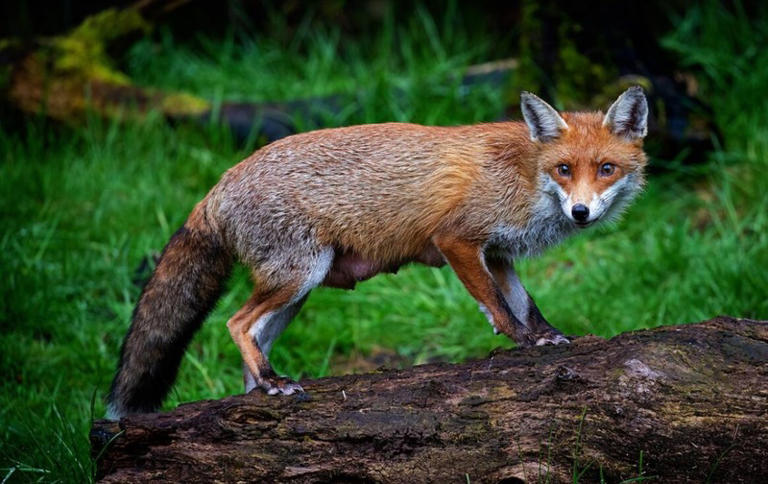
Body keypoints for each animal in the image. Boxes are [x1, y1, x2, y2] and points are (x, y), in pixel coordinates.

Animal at [106, 87, 649, 419]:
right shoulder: (456, 239)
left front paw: (547, 334)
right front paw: (523, 341)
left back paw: (262, 387)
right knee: (235, 323)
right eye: (564, 169)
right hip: (298, 275)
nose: (581, 212)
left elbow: (524, 301)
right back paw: (273, 383)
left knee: (253, 339)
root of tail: (218, 184)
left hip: (296, 292)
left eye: (605, 168)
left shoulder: (497, 252)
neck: (525, 175)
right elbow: (498, 306)